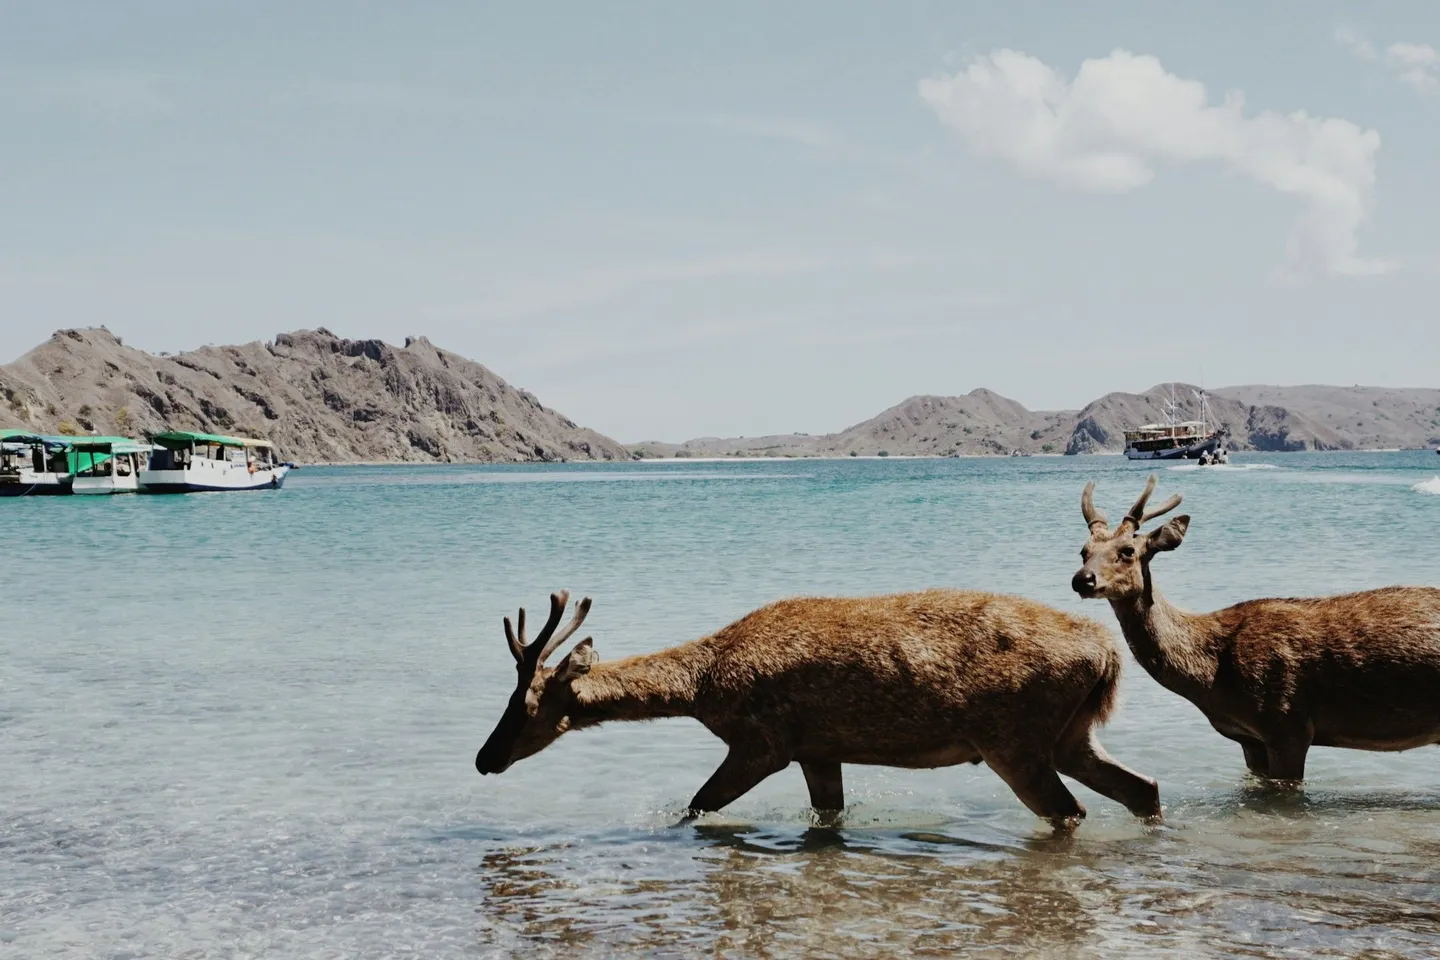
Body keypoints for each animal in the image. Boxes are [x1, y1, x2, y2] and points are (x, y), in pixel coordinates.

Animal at [474, 588, 1162, 827]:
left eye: (525, 705)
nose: (483, 759)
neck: (703, 689)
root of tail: (1108, 655)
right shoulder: (818, 750)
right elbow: (828, 814)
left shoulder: (764, 741)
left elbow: (696, 805)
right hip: (1071, 734)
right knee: (1143, 786)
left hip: (1013, 739)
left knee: (1072, 811)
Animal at [1072, 474, 1440, 782]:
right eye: (1084, 551)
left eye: (1128, 551)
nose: (1082, 579)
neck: (1210, 677)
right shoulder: (1249, 740)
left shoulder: (1288, 725)